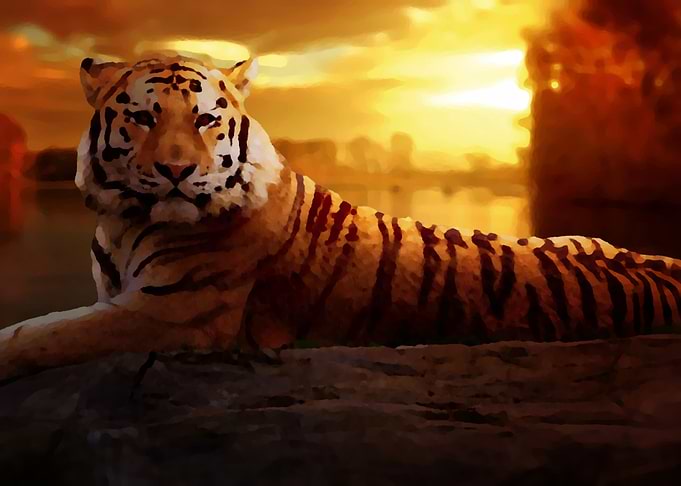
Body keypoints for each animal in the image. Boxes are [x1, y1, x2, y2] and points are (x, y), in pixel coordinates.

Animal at [1, 54, 681, 382]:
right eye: (143, 118)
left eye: (205, 119)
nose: (175, 171)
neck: (120, 221)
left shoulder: (172, 314)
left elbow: (38, 333)